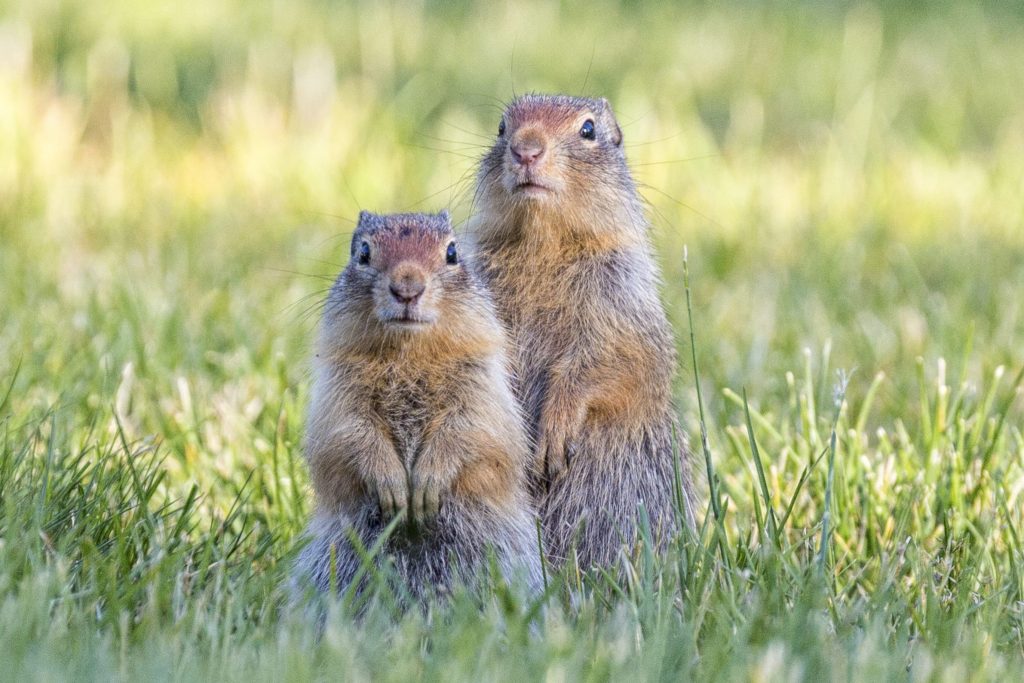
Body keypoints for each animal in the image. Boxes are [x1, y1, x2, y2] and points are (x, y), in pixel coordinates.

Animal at [293, 210, 542, 602]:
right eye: (362, 252)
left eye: (453, 252)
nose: (407, 287)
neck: (408, 354)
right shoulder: (338, 389)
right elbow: (350, 433)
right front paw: (393, 488)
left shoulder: (481, 384)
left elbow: (470, 429)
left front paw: (426, 486)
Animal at [469, 94, 696, 570]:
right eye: (501, 127)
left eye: (588, 130)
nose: (526, 150)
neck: (544, 245)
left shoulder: (621, 298)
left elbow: (613, 362)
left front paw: (554, 433)